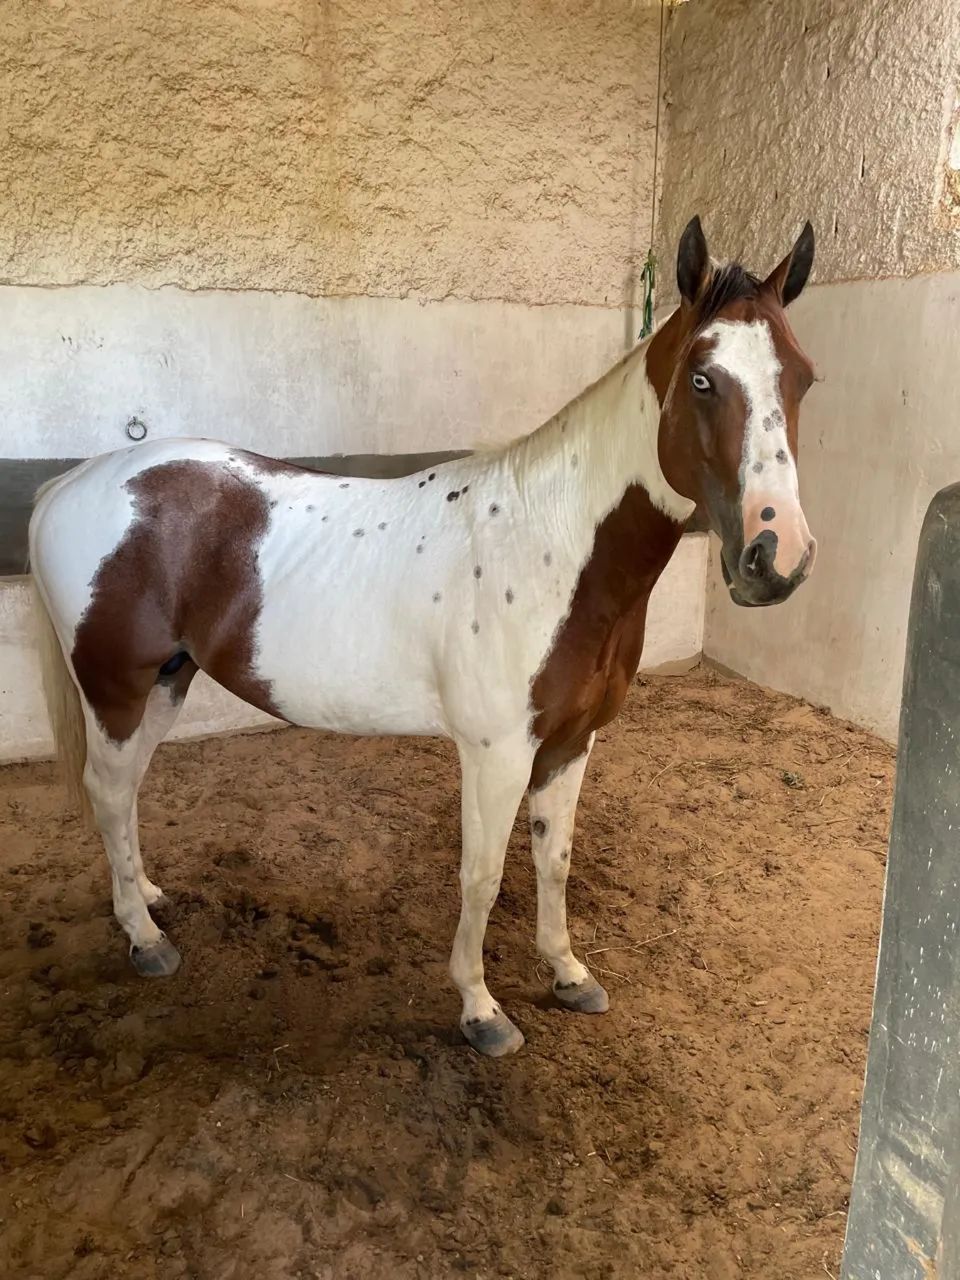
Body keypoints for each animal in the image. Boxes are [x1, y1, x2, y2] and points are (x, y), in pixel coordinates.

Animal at [29, 216, 818, 1057]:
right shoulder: (496, 752)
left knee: (125, 793)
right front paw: (480, 1010)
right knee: (107, 791)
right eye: (703, 379)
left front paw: (568, 974)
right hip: (115, 688)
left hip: (166, 683)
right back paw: (143, 938)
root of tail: (72, 482)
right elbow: (483, 876)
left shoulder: (572, 742)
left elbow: (555, 860)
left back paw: (144, 893)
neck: (552, 547)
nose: (777, 556)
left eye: (803, 379)